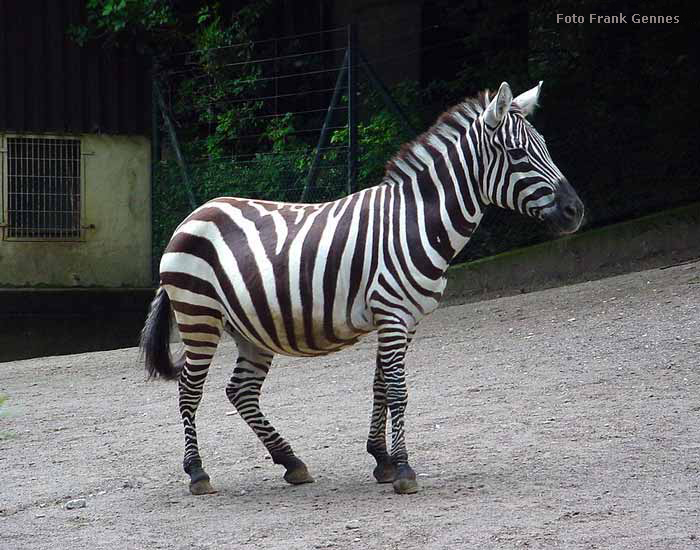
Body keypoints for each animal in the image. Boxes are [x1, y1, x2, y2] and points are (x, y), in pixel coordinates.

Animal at [142, 83, 584, 500]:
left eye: (545, 147)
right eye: (517, 154)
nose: (575, 211)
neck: (418, 221)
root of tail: (192, 216)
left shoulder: (405, 320)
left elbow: (381, 388)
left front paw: (382, 460)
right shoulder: (392, 313)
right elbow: (398, 391)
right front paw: (403, 469)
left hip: (249, 328)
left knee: (241, 392)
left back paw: (291, 462)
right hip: (199, 317)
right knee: (189, 391)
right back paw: (198, 472)